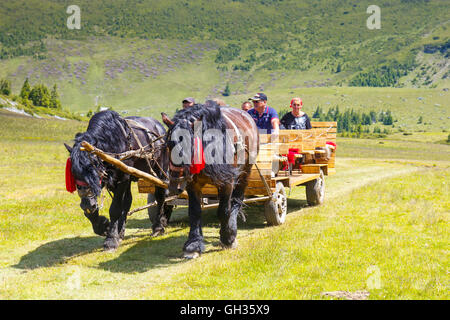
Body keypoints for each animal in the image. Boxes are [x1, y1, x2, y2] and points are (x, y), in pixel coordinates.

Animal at [65, 111, 172, 251]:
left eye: (94, 169)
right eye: (73, 172)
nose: (87, 203)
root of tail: (160, 127)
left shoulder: (122, 179)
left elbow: (115, 209)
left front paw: (111, 240)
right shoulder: (113, 180)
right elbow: (94, 212)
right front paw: (104, 226)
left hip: (160, 170)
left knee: (160, 196)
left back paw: (159, 226)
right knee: (127, 202)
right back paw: (121, 231)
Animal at [163, 102, 258, 258]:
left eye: (190, 145)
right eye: (169, 145)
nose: (175, 184)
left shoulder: (227, 182)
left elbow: (224, 210)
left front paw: (228, 238)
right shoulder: (192, 185)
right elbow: (195, 211)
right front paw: (193, 245)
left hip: (245, 173)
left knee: (236, 200)